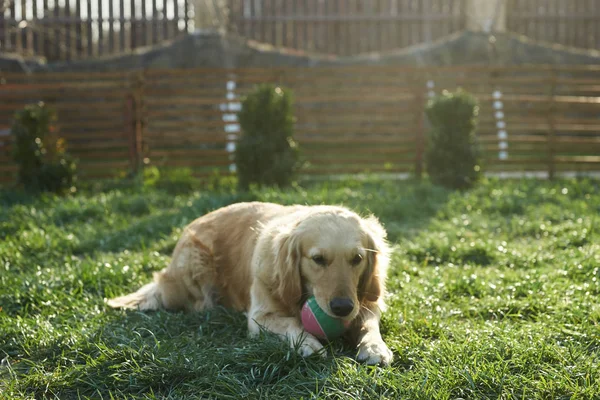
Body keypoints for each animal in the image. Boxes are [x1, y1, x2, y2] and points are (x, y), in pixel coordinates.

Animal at [108, 203, 394, 366]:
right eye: (318, 259)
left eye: (357, 259)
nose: (343, 307)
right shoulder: (259, 317)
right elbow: (292, 323)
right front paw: (310, 344)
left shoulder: (366, 302)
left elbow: (369, 324)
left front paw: (375, 347)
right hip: (195, 263)